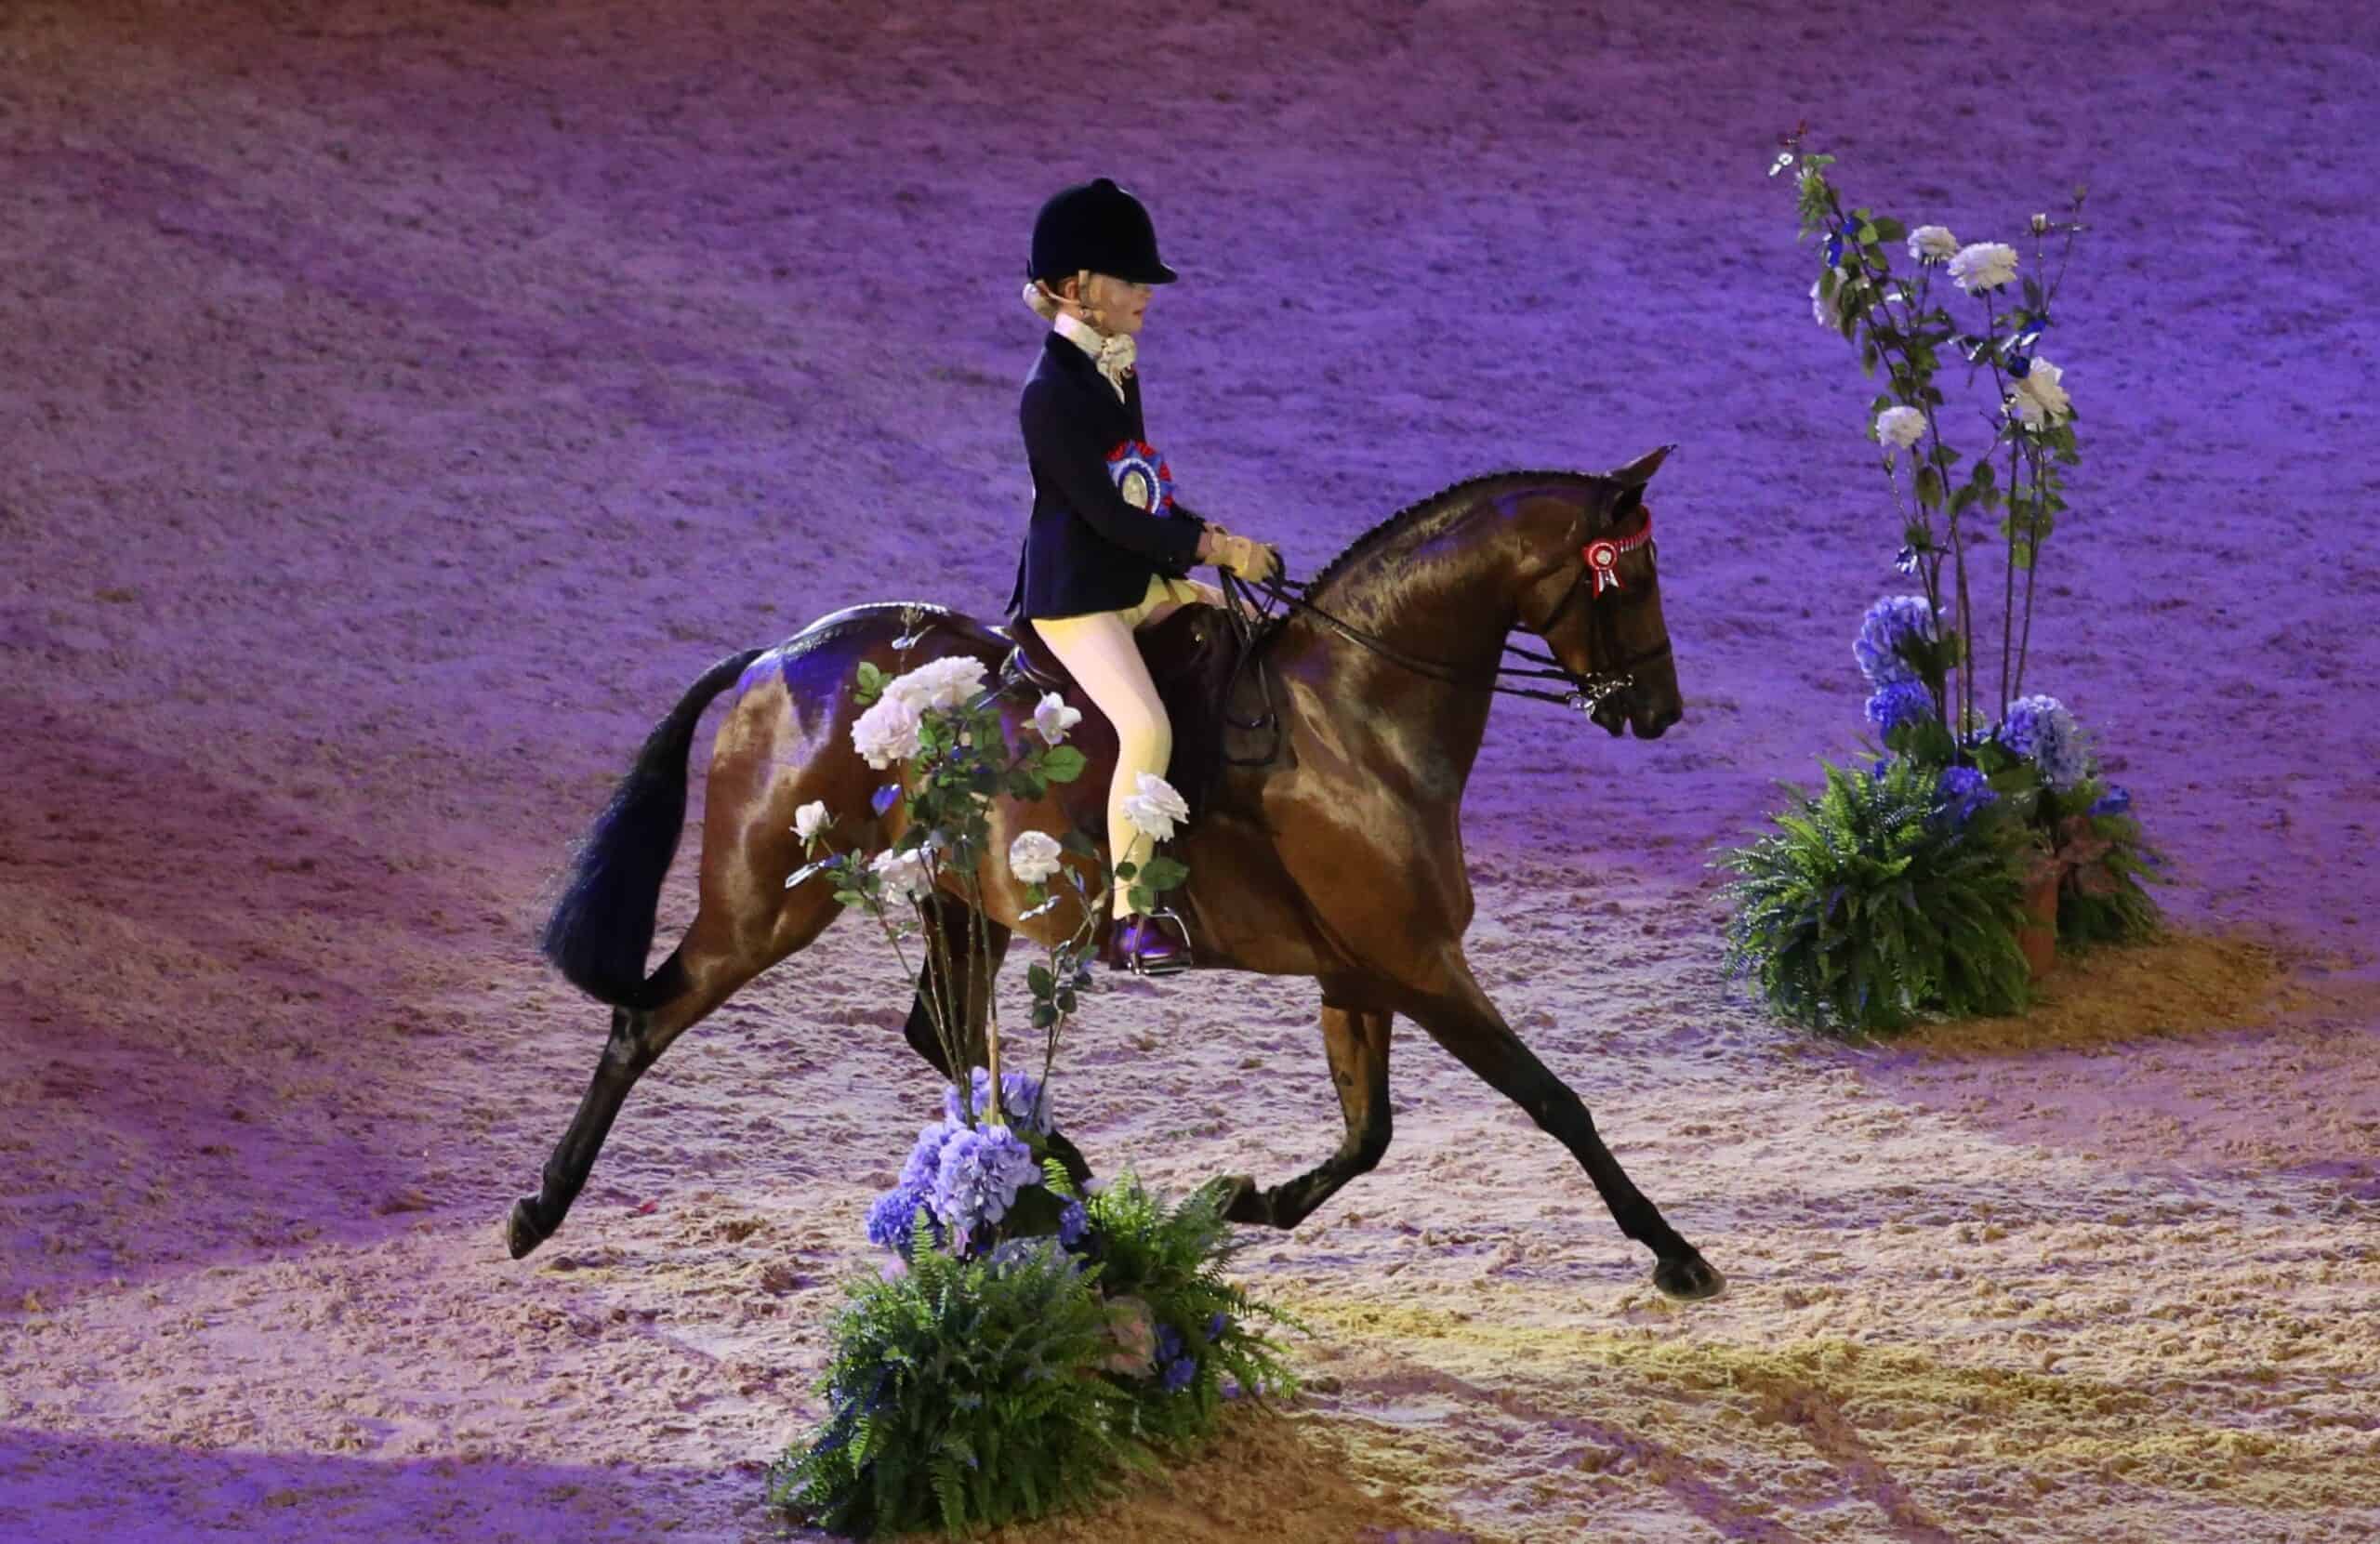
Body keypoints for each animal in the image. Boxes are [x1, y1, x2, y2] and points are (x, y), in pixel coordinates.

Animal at [508, 447, 1725, 1301]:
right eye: (1632, 577)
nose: (1659, 710)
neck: (1360, 712)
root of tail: (775, 655)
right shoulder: (1420, 964)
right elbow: (1553, 1099)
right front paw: (1676, 1252)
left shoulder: (1363, 972)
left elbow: (1367, 1132)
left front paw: (1244, 1198)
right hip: (772, 898)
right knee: (648, 1020)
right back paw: (537, 1209)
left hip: (961, 903)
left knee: (941, 1032)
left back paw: (1061, 1174)